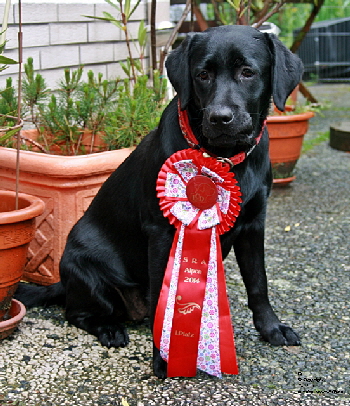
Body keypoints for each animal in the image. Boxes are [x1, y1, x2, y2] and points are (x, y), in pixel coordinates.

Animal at [15, 27, 302, 380]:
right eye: (202, 74)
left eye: (248, 72)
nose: (220, 118)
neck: (223, 159)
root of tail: (62, 282)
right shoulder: (162, 232)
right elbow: (165, 302)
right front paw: (164, 358)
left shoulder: (254, 224)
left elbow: (258, 284)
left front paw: (271, 328)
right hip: (87, 272)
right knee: (77, 313)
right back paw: (109, 328)